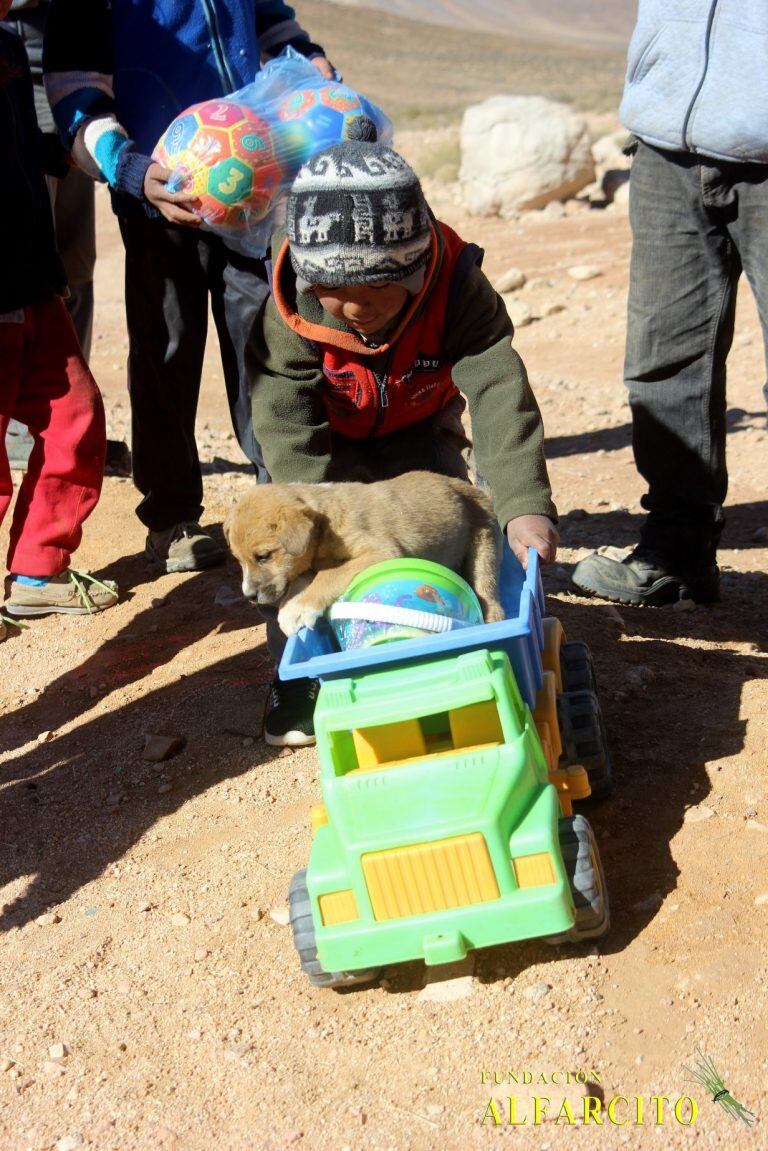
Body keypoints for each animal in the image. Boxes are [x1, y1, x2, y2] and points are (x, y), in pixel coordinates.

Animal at [225, 469, 506, 639]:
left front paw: (302, 608)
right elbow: (300, 581)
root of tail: (477, 490)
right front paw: (290, 608)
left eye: (263, 556)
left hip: (484, 551)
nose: (249, 596)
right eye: (239, 561)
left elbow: (329, 575)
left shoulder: (382, 550)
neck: (326, 521)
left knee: (488, 592)